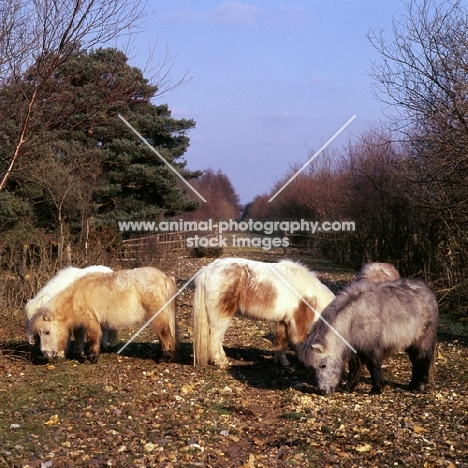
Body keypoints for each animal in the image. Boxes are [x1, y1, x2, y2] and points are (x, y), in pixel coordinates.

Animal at [29, 266, 179, 362]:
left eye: (47, 332)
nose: (46, 354)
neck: (75, 295)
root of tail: (164, 277)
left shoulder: (90, 320)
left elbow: (93, 337)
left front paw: (91, 358)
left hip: (157, 315)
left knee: (164, 333)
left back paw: (164, 357)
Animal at [193, 258, 336, 368]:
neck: (313, 294)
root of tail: (209, 268)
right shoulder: (298, 322)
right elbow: (300, 342)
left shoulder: (284, 321)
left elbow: (282, 342)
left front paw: (282, 361)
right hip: (221, 317)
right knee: (215, 338)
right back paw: (221, 361)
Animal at [300, 278, 438, 394]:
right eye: (313, 368)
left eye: (323, 365)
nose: (322, 391)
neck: (352, 319)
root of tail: (429, 294)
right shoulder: (355, 349)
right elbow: (354, 368)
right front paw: (349, 387)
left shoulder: (372, 349)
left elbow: (373, 367)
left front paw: (376, 389)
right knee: (415, 362)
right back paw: (412, 385)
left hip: (422, 341)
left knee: (423, 360)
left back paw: (419, 386)